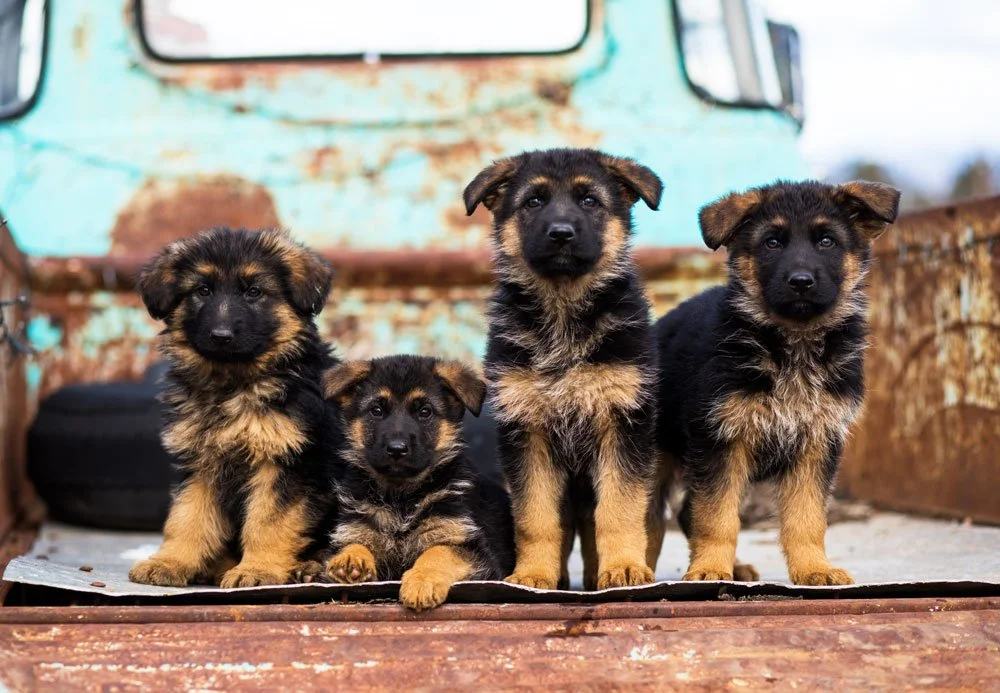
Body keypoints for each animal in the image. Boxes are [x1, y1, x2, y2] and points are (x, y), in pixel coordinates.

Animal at [128, 227, 343, 588]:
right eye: (202, 290)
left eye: (254, 291)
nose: (221, 335)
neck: (234, 385)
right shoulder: (200, 464)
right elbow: (187, 517)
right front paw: (170, 562)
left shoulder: (286, 462)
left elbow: (268, 522)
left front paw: (257, 569)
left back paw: (310, 567)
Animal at [316, 355, 515, 610]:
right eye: (376, 410)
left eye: (425, 412)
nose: (396, 449)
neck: (401, 496)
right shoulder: (354, 530)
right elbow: (354, 543)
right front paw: (351, 558)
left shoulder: (473, 551)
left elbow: (438, 552)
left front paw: (422, 581)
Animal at [463, 148, 663, 591]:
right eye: (533, 201)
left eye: (589, 200)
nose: (561, 234)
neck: (563, 311)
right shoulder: (526, 431)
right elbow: (535, 517)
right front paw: (533, 574)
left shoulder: (622, 424)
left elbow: (619, 509)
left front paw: (624, 567)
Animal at [651, 180, 900, 585]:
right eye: (772, 242)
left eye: (827, 241)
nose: (801, 282)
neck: (792, 344)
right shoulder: (721, 440)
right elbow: (717, 516)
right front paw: (709, 570)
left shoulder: (817, 443)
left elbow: (807, 517)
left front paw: (814, 568)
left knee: (686, 509)